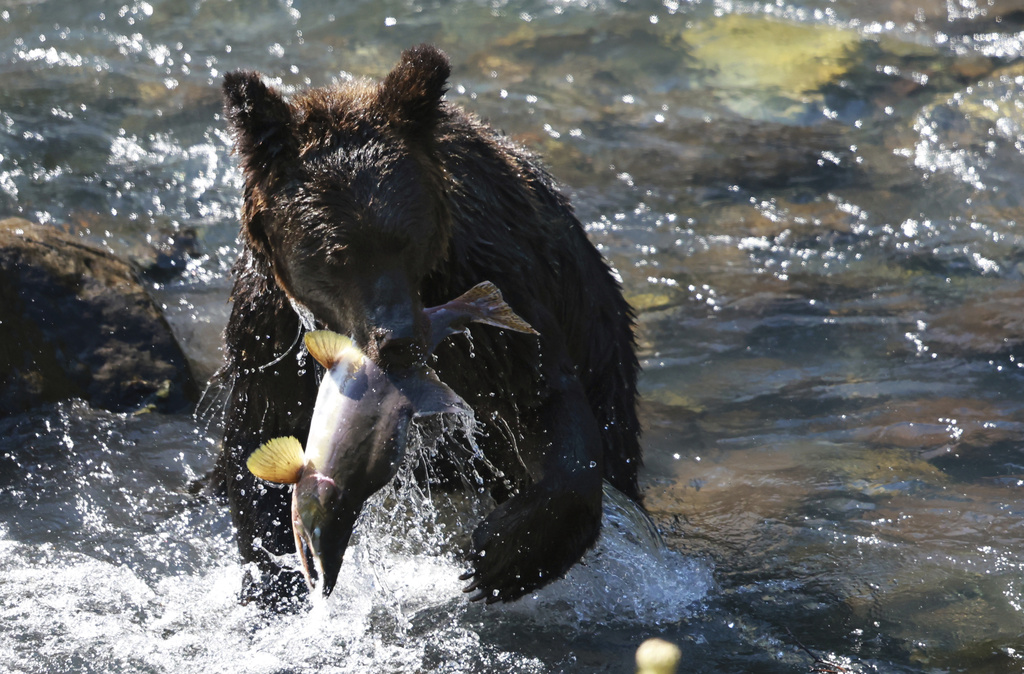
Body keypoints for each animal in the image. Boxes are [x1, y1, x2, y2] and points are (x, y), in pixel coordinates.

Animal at [217, 44, 641, 606]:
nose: (397, 339)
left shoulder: (497, 291)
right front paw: (273, 584)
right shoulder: (270, 337)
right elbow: (256, 438)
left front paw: (501, 555)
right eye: (337, 252)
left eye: (404, 238)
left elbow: (542, 398)